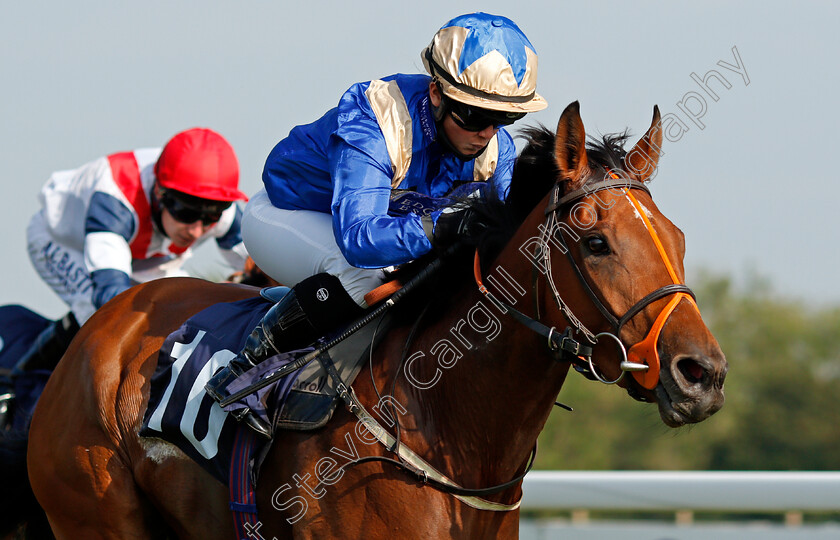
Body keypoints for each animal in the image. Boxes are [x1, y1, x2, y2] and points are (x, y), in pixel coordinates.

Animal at [23, 102, 724, 540]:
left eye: (679, 238)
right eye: (596, 242)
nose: (702, 375)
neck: (446, 424)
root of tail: (100, 326)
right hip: (94, 513)